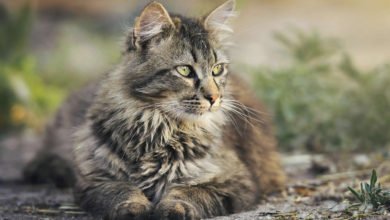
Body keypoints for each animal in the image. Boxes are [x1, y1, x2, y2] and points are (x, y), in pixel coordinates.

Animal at [24, 0, 286, 219]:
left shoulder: (237, 181)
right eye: (185, 71)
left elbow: (191, 192)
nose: (214, 98)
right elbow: (122, 190)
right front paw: (134, 208)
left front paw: (174, 208)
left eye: (217, 69)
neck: (158, 127)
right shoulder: (95, 179)